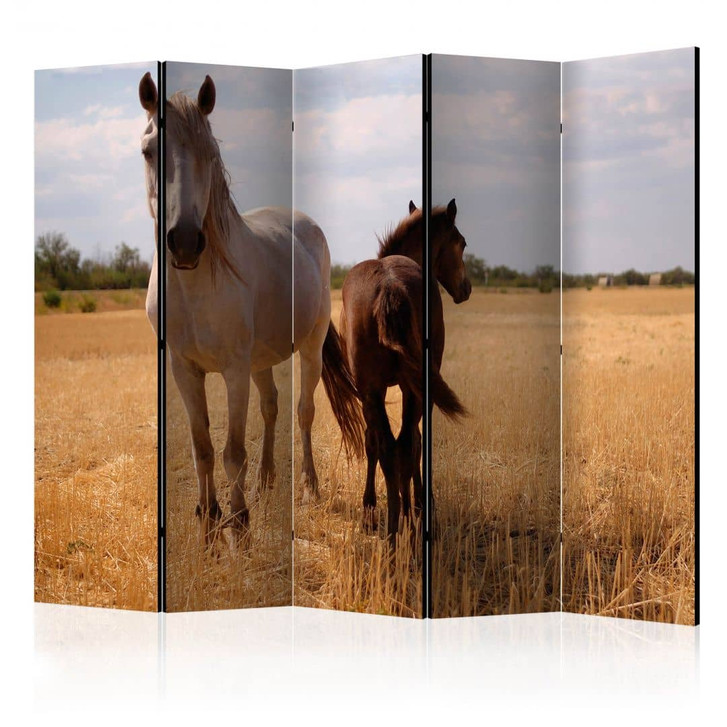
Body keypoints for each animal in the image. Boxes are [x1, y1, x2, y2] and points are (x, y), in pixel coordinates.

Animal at [138, 72, 363, 546]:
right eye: (149, 151)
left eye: (210, 152)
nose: (184, 242)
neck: (194, 288)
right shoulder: (183, 369)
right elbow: (202, 447)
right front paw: (208, 518)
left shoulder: (234, 369)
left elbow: (232, 451)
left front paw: (238, 523)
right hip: (262, 359)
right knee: (272, 406)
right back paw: (266, 481)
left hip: (309, 346)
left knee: (303, 411)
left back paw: (309, 487)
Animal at [339, 199, 471, 543]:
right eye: (462, 242)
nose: (466, 288)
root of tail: (390, 284)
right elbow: (409, 442)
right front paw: (419, 503)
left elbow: (379, 443)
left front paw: (375, 508)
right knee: (404, 442)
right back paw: (403, 521)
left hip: (378, 390)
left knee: (393, 445)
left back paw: (393, 529)